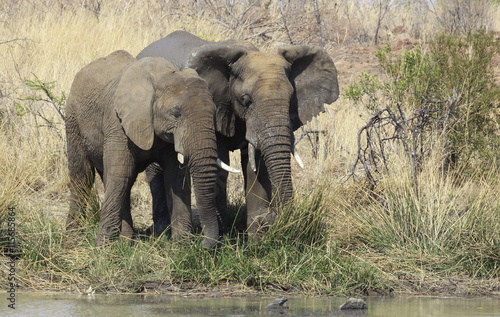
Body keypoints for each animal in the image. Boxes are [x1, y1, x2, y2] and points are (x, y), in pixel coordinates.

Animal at [64, 50, 232, 247]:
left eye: (213, 113)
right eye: (176, 114)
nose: (203, 244)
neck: (162, 76)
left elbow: (176, 176)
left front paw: (182, 246)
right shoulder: (118, 123)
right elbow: (119, 174)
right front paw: (103, 248)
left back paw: (127, 241)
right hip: (73, 120)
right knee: (82, 176)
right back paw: (73, 236)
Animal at [137, 30, 340, 237]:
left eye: (291, 99)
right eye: (246, 100)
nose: (272, 217)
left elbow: (255, 166)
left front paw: (256, 239)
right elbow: (220, 165)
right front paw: (223, 237)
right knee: (155, 169)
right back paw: (161, 229)